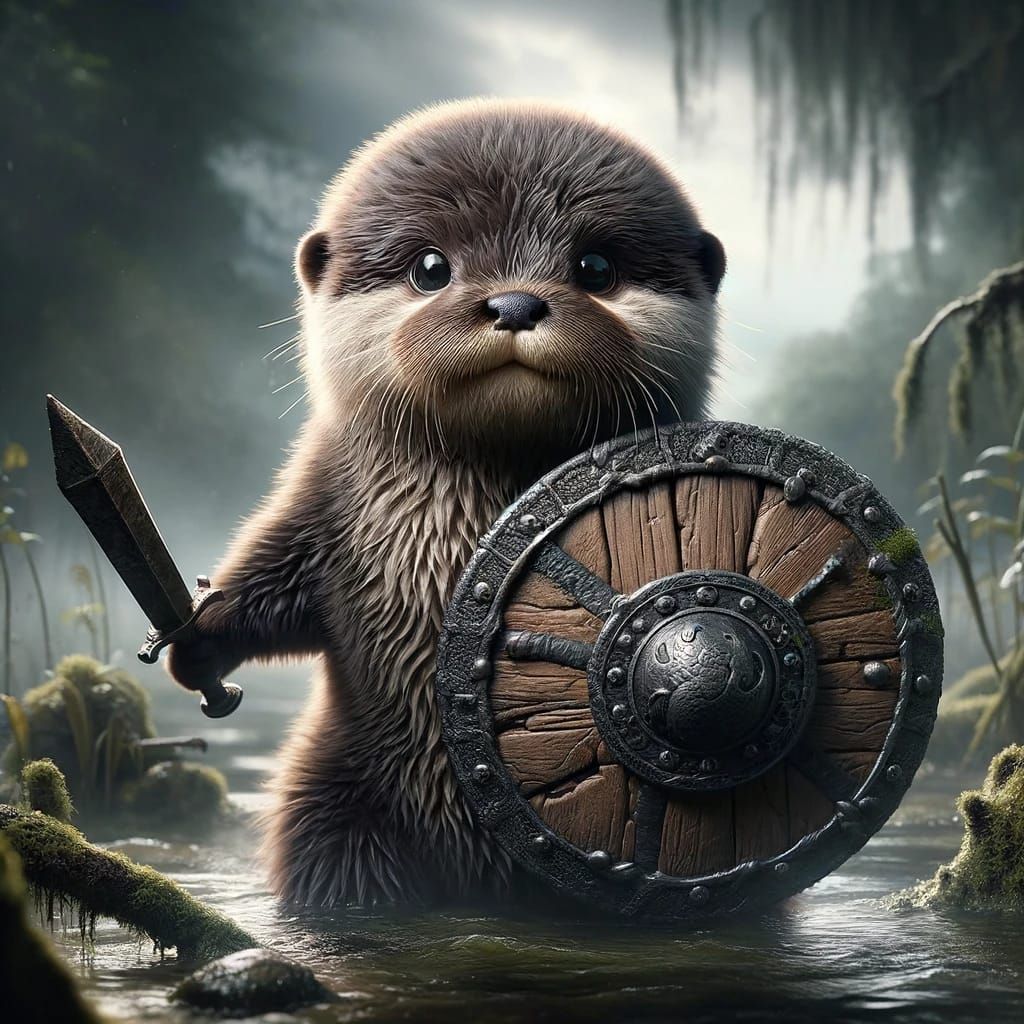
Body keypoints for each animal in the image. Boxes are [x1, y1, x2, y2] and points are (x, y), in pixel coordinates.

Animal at [167, 99, 726, 907]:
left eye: (595, 267)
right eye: (430, 267)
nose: (517, 301)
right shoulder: (321, 503)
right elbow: (269, 583)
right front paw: (199, 639)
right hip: (332, 808)